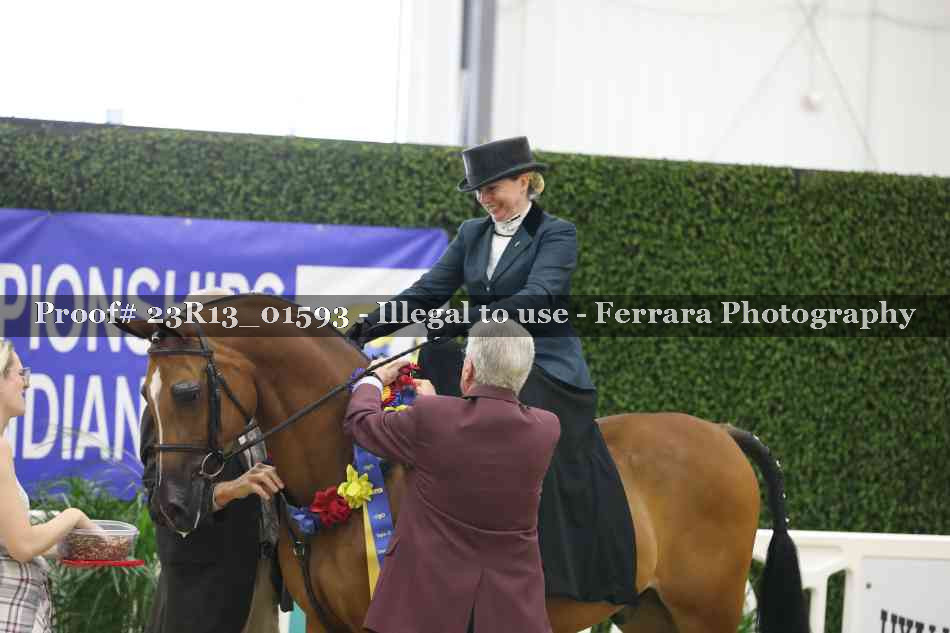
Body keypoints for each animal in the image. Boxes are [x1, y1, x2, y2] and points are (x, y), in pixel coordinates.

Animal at [119, 294, 807, 633]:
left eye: (186, 392)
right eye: (145, 396)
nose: (170, 505)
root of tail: (721, 434)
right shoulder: (326, 625)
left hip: (705, 613)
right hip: (649, 614)